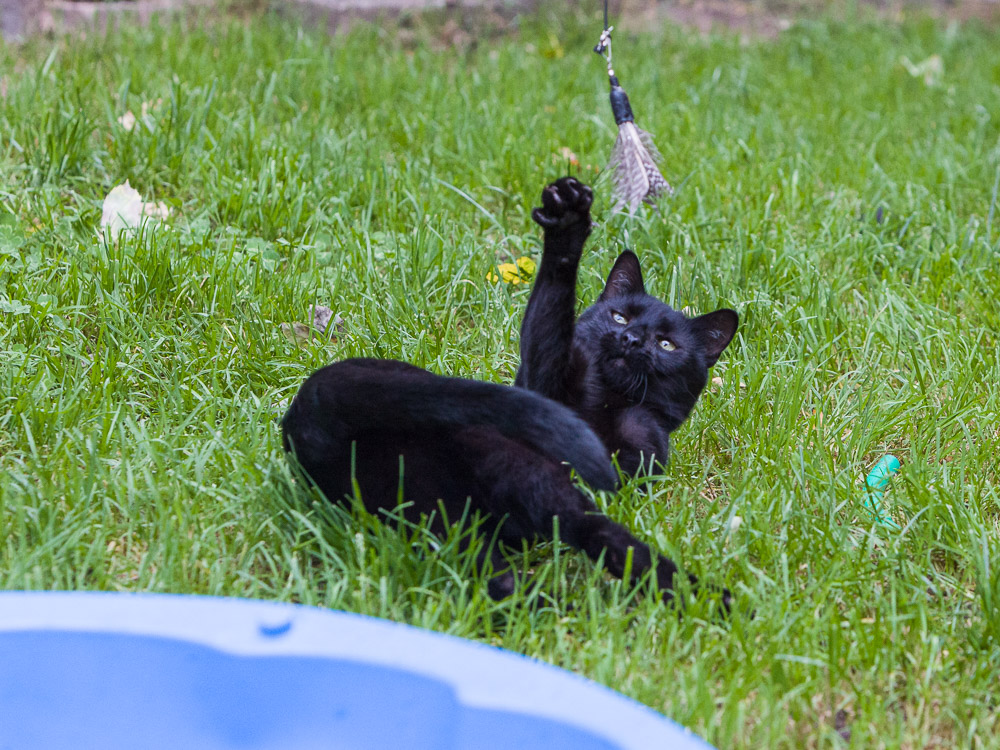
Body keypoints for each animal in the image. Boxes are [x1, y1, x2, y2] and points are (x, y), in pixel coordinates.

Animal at [282, 179, 736, 608]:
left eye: (666, 345)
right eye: (619, 316)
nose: (631, 339)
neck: (609, 403)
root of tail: (317, 403)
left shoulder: (641, 461)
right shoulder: (544, 376)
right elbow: (550, 314)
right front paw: (567, 224)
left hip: (435, 511)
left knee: (502, 573)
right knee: (587, 533)